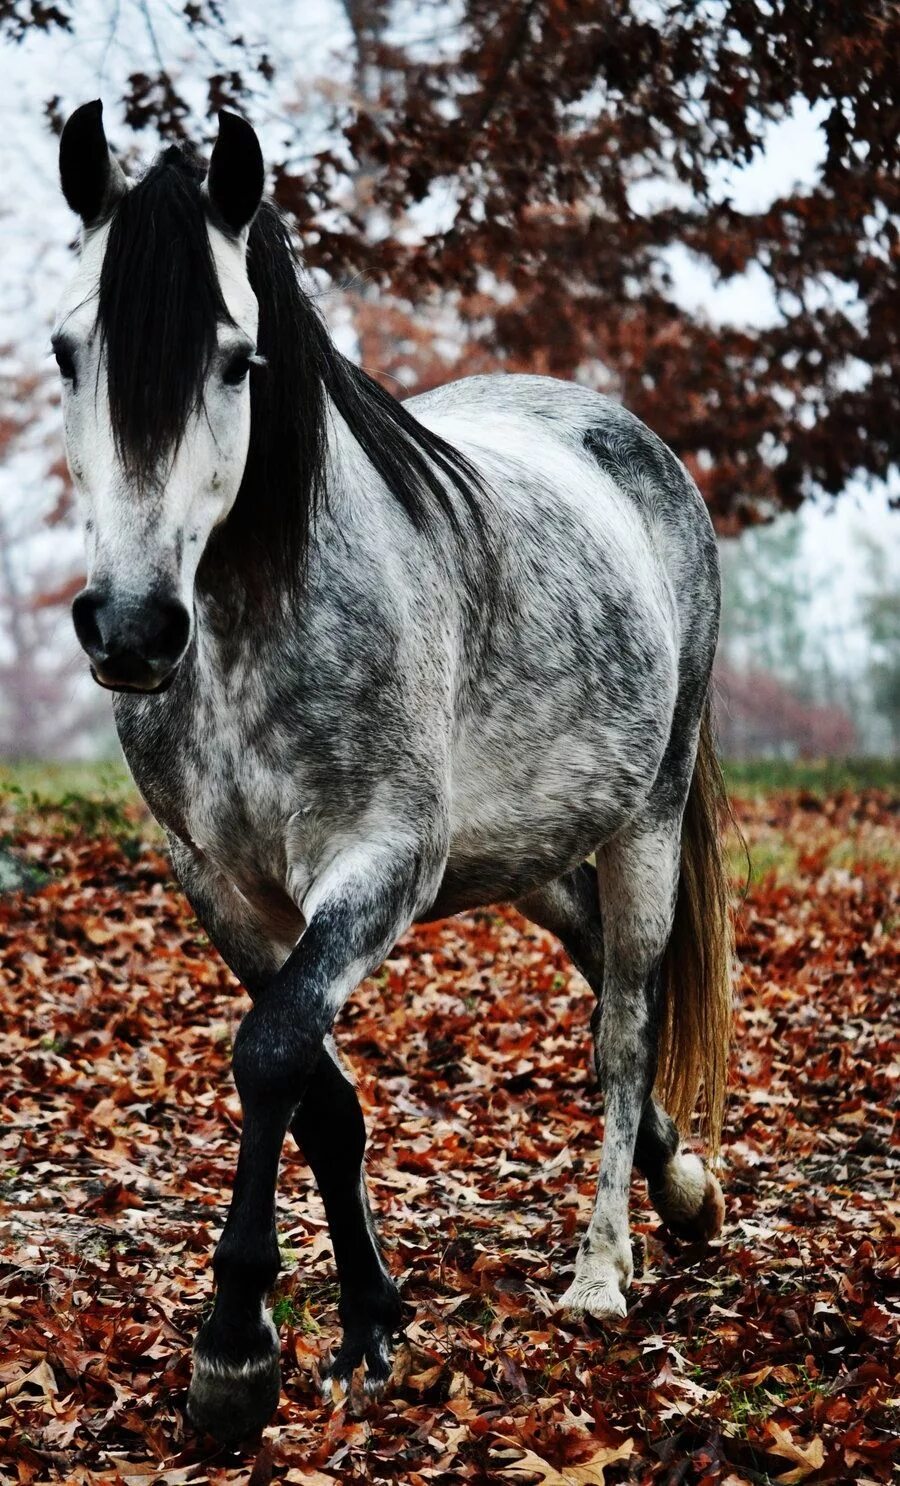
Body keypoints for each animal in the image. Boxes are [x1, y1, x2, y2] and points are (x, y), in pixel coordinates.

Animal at [54, 101, 733, 1438]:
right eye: (65, 354)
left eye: (235, 362)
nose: (132, 628)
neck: (249, 630)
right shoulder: (222, 887)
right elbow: (320, 1091)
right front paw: (368, 1318)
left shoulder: (377, 868)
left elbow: (272, 1055)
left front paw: (234, 1346)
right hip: (530, 852)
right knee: (591, 968)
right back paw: (682, 1186)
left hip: (647, 817)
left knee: (624, 1024)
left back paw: (603, 1269)